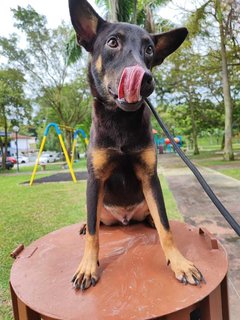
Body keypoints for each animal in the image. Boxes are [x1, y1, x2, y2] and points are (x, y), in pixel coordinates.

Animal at [68, 0, 203, 290]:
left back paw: (149, 218)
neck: (121, 119)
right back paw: (86, 225)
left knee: (154, 217)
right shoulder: (95, 180)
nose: (145, 79)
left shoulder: (150, 177)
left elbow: (166, 228)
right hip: (100, 206)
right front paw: (87, 267)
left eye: (149, 49)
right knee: (95, 221)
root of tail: (125, 218)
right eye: (112, 42)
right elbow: (93, 235)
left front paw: (179, 262)